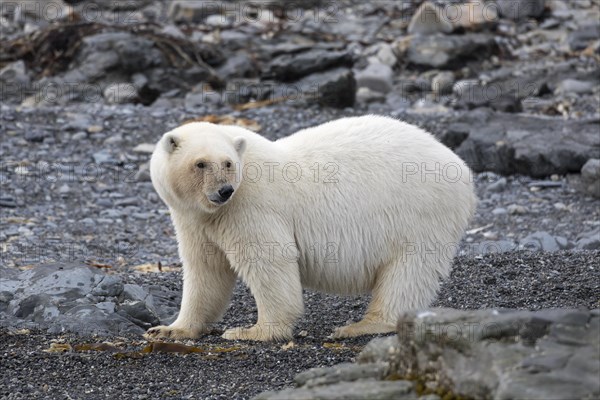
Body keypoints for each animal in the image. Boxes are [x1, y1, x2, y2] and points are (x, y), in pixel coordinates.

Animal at [143, 115, 476, 340]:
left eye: (227, 163)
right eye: (200, 164)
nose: (225, 190)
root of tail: (460, 166)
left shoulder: (251, 206)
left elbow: (269, 261)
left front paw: (252, 331)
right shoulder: (195, 219)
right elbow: (205, 270)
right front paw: (169, 329)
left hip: (419, 212)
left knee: (408, 269)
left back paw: (360, 325)